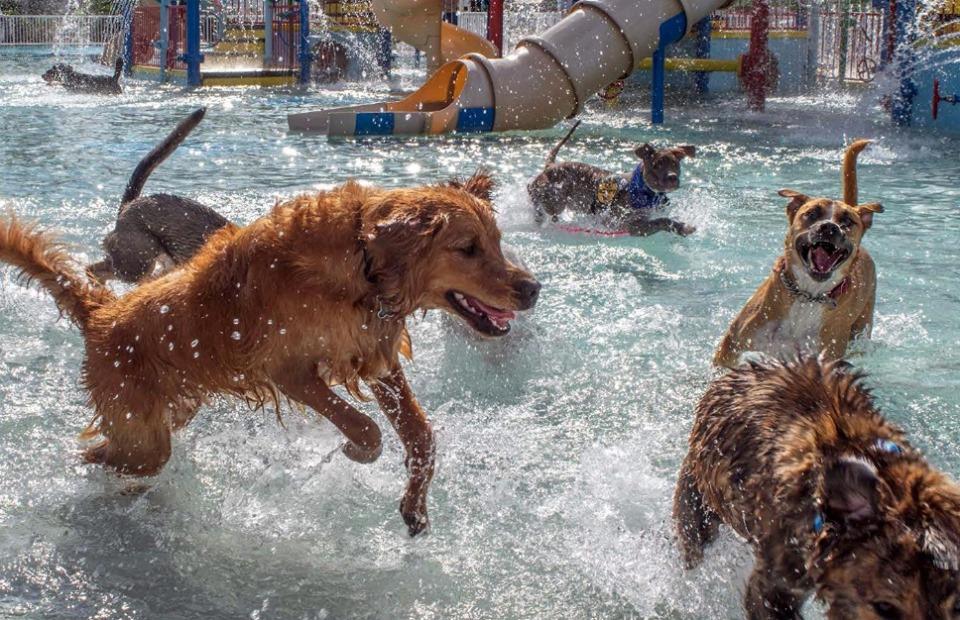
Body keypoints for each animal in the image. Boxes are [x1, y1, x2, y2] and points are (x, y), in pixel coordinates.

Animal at [0, 171, 540, 536]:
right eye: (467, 247)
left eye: (497, 242)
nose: (533, 289)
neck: (361, 264)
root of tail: (101, 312)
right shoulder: (289, 371)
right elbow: (363, 425)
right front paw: (358, 452)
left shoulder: (376, 356)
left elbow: (422, 436)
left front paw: (415, 508)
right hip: (142, 439)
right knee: (96, 455)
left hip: (163, 421)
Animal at [524, 120, 696, 236]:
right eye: (657, 165)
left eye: (675, 164)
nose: (672, 177)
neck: (642, 188)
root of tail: (551, 166)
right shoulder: (630, 226)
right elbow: (661, 221)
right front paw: (682, 227)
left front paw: (681, 227)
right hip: (555, 199)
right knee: (536, 195)